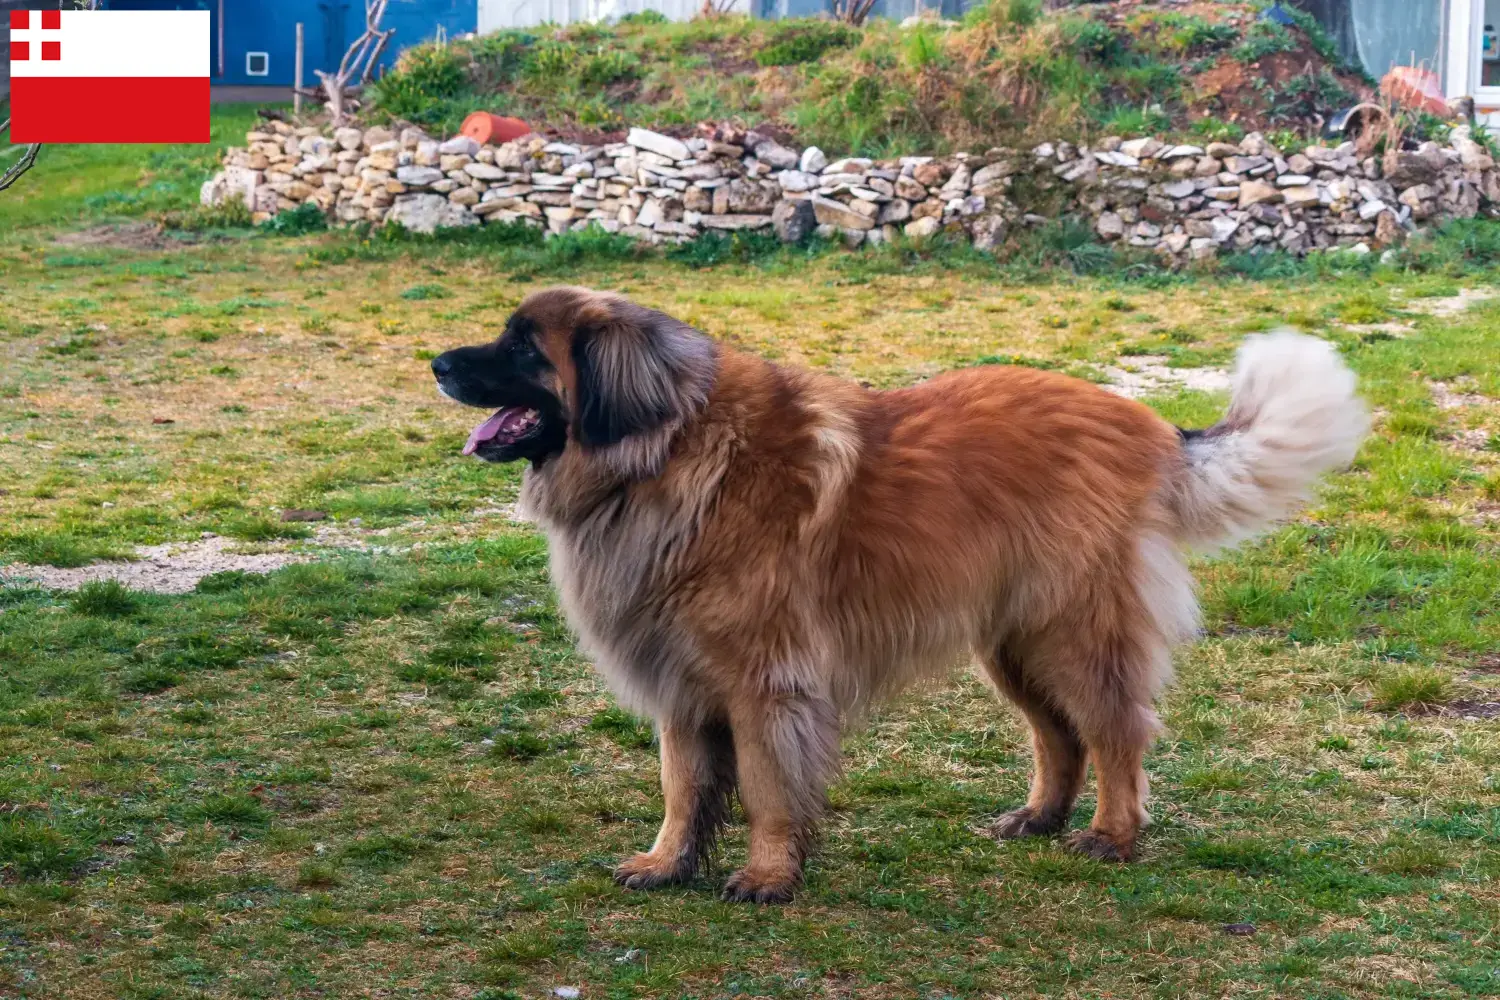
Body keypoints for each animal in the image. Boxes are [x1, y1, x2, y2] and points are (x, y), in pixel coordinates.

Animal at [435, 284, 1374, 905]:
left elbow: (768, 788)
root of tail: (1149, 426)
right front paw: (668, 864)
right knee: (1059, 738)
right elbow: (681, 784)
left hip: (1073, 632)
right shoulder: (680, 677)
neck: (667, 453)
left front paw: (767, 875)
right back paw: (1038, 818)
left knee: (1115, 734)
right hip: (1013, 645)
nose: (438, 362)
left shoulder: (764, 683)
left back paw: (1112, 835)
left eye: (524, 348)